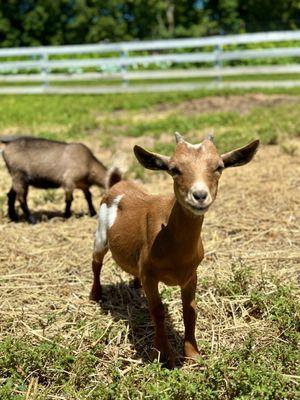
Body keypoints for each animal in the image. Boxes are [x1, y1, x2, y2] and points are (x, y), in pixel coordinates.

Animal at [90, 133, 258, 368]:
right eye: (174, 169)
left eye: (219, 167)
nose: (199, 195)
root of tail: (117, 184)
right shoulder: (150, 274)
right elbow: (157, 311)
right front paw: (163, 355)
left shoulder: (191, 275)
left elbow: (190, 310)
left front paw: (193, 354)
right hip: (101, 235)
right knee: (96, 262)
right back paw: (95, 295)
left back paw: (134, 285)